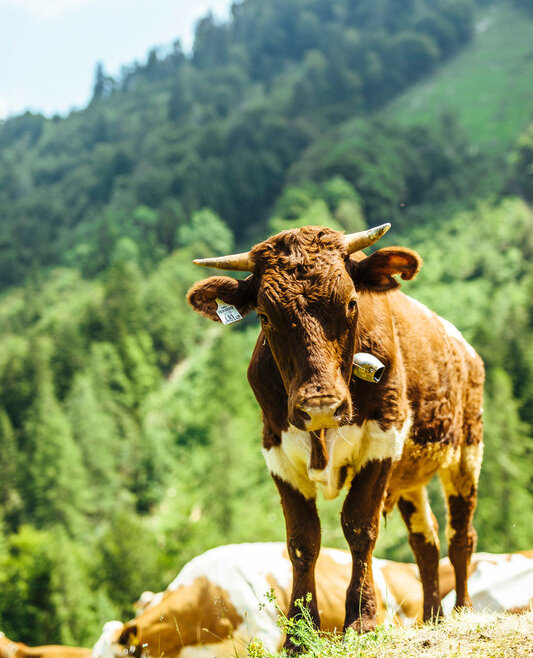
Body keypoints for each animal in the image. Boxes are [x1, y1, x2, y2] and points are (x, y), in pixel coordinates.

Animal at [186, 224, 484, 650]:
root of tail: (462, 344)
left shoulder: (382, 440)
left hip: (465, 452)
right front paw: (298, 634)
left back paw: (461, 610)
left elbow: (359, 527)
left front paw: (361, 620)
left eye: (351, 302)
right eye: (264, 316)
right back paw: (432, 619)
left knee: (461, 535)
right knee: (425, 541)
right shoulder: (277, 453)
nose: (320, 405)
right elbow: (302, 541)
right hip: (410, 479)